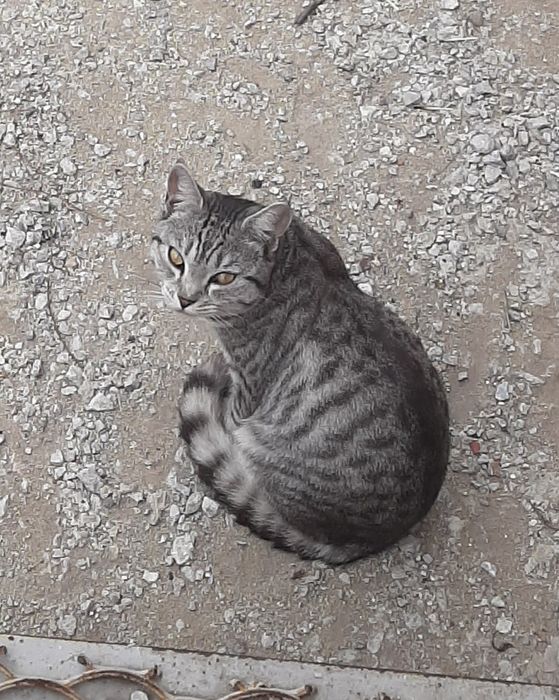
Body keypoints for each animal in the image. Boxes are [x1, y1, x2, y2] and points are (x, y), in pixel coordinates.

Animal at [151, 159, 449, 564]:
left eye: (224, 277)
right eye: (176, 258)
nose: (185, 299)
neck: (289, 258)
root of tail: (370, 539)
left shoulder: (247, 387)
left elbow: (229, 413)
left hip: (259, 441)